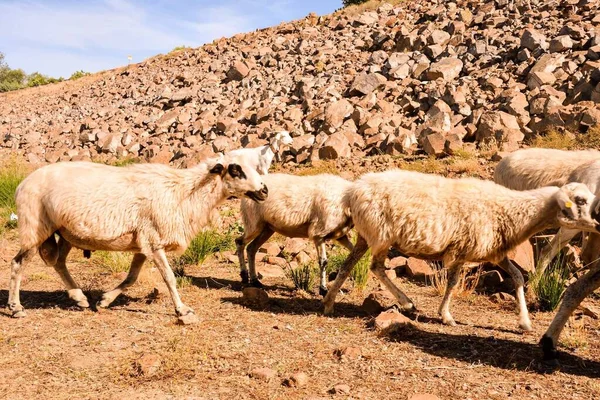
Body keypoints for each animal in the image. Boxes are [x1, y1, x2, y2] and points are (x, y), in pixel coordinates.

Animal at [7, 154, 268, 322]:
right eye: (236, 169)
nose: (264, 190)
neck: (183, 193)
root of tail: (22, 184)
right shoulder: (154, 241)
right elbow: (170, 278)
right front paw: (182, 311)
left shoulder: (143, 243)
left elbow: (131, 278)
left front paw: (104, 301)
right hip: (34, 227)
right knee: (18, 263)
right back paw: (16, 307)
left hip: (64, 232)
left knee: (59, 263)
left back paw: (79, 298)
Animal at [322, 170, 600, 330]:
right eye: (581, 201)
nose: (598, 223)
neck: (513, 212)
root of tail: (353, 190)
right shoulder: (463, 250)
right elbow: (453, 282)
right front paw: (446, 315)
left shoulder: (494, 252)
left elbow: (518, 277)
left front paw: (525, 322)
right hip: (381, 235)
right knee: (376, 267)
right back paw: (406, 301)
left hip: (366, 234)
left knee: (348, 266)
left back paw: (329, 302)